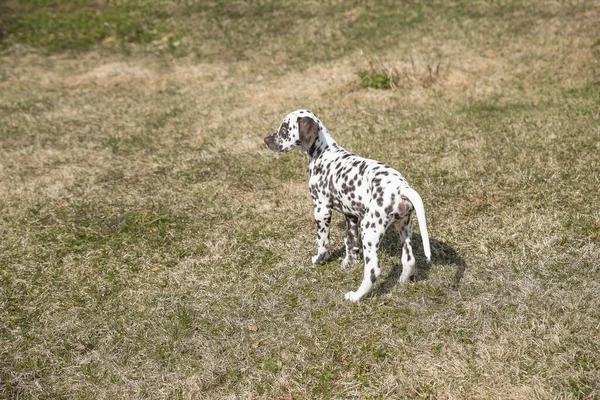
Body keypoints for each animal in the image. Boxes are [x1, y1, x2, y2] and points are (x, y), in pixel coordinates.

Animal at [264, 108, 428, 302]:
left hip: (370, 230)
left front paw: (319, 260)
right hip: (404, 227)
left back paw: (356, 296)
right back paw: (402, 281)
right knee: (409, 260)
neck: (324, 153)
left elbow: (323, 243)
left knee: (373, 270)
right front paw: (349, 262)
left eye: (284, 128)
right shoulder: (351, 215)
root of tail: (401, 188)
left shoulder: (321, 210)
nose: (266, 139)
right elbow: (350, 241)